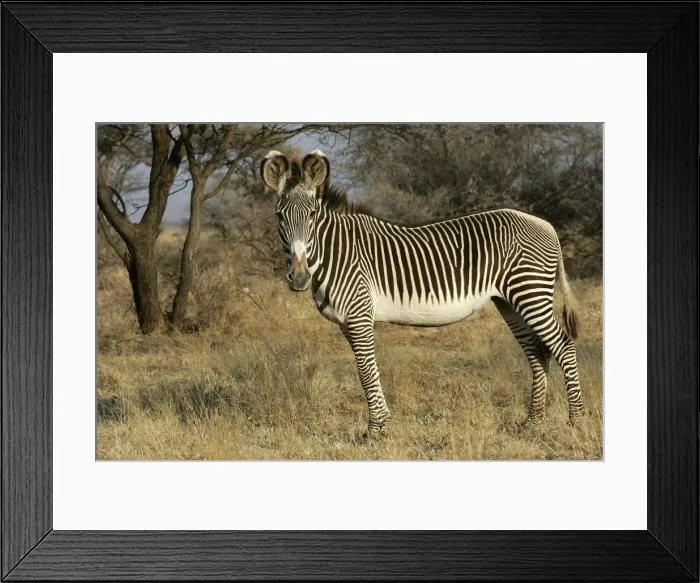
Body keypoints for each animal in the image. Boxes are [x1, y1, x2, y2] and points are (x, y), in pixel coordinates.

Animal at [261, 149, 584, 438]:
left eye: (312, 215)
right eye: (279, 216)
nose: (299, 277)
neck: (335, 252)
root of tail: (546, 225)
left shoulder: (359, 315)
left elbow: (365, 370)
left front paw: (375, 430)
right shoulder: (346, 322)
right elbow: (366, 370)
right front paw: (380, 425)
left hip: (530, 292)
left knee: (564, 347)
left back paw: (575, 421)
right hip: (510, 301)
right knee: (539, 353)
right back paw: (532, 424)